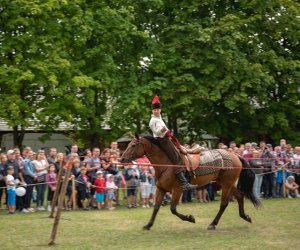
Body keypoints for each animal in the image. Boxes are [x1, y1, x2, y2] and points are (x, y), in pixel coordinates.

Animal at [120, 135, 262, 230]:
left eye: (133, 145)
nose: (122, 159)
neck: (166, 164)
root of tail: (236, 156)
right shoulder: (161, 189)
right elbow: (156, 208)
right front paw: (148, 225)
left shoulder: (177, 190)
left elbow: (173, 209)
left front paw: (190, 218)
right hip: (226, 183)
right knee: (240, 196)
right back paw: (245, 216)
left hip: (227, 184)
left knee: (224, 204)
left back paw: (212, 224)